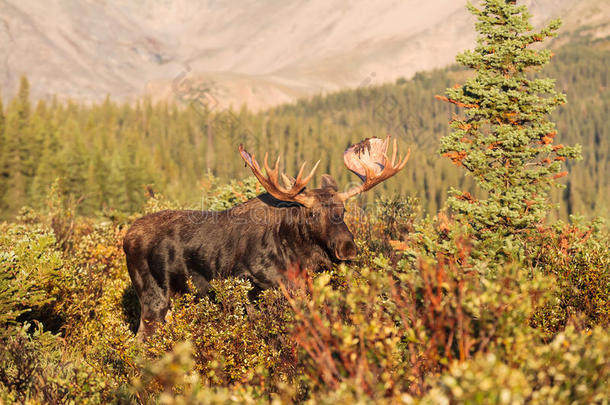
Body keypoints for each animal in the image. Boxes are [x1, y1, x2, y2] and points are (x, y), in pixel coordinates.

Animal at [123, 136, 408, 338]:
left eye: (344, 210)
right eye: (313, 213)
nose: (347, 248)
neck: (299, 257)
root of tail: (126, 238)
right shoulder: (253, 287)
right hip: (154, 298)